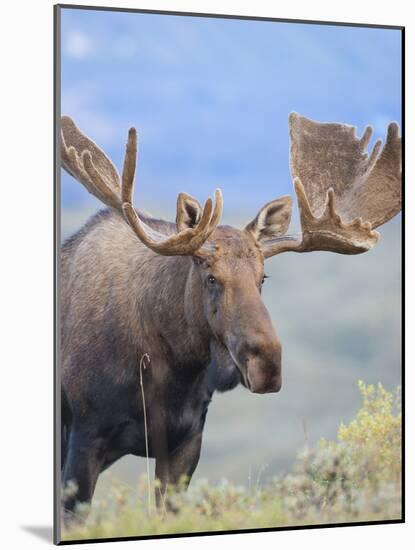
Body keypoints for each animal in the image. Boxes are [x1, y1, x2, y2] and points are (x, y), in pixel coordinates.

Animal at [60, 112, 402, 516]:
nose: (267, 364)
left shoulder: (186, 441)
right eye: (211, 277)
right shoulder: (85, 436)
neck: (169, 372)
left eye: (262, 277)